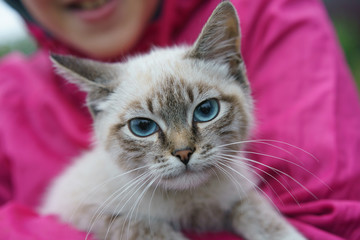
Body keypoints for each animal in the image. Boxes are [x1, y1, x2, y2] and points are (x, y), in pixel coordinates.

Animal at [41, 2, 306, 240]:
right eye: (143, 127)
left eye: (206, 111)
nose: (184, 153)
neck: (192, 202)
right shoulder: (92, 212)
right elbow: (147, 229)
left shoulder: (237, 190)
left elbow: (254, 211)